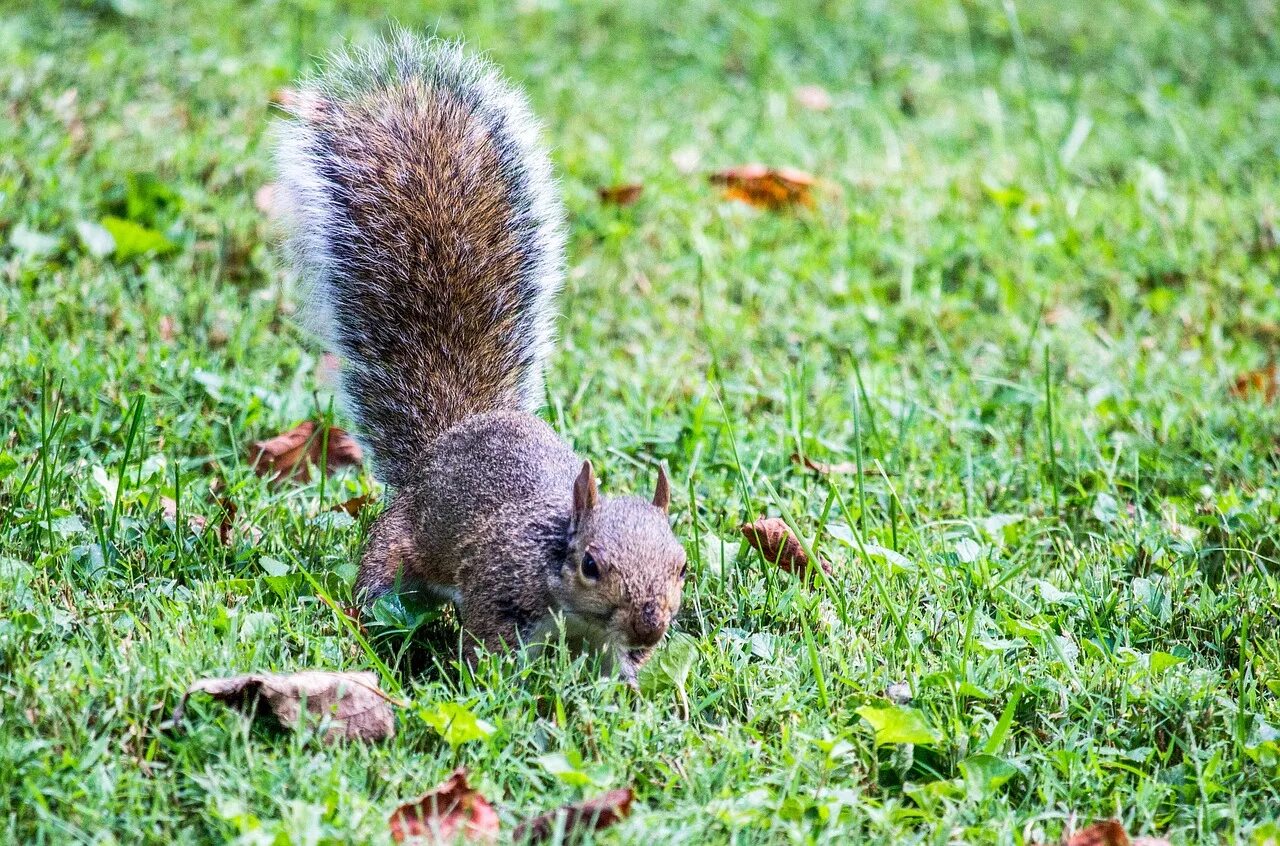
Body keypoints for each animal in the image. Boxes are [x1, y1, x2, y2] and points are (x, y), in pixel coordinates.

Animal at [273, 29, 686, 680]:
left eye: (682, 566)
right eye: (591, 564)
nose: (651, 626)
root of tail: (451, 437)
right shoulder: (498, 586)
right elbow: (488, 648)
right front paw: (498, 686)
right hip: (401, 542)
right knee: (379, 582)